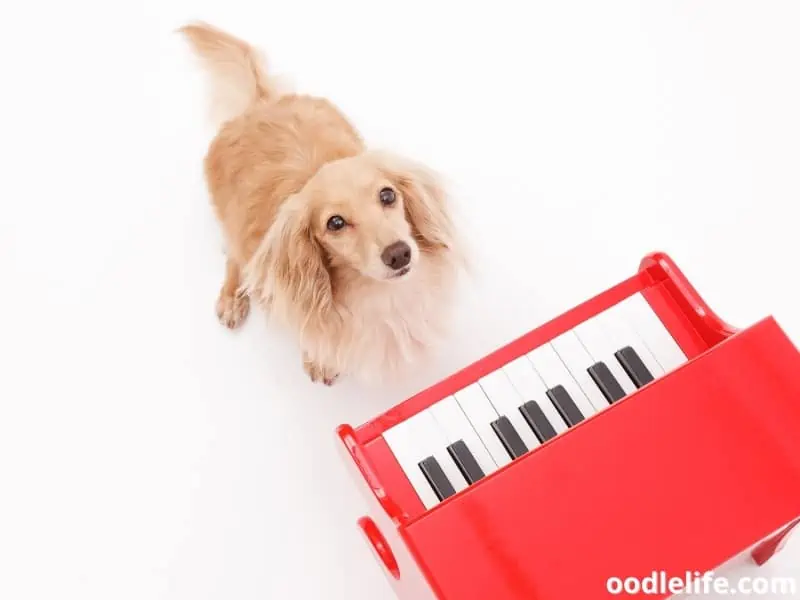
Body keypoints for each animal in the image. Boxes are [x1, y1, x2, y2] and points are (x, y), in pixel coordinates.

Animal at [175, 22, 462, 384]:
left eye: (388, 195)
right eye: (335, 223)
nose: (399, 254)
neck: (377, 294)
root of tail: (261, 101)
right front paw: (320, 360)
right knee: (234, 258)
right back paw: (231, 297)